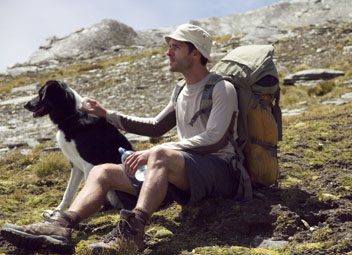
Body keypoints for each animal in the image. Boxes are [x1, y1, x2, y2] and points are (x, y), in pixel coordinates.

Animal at [23, 80, 133, 212]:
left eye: (41, 94)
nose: (25, 105)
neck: (72, 116)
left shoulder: (89, 163)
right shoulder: (75, 164)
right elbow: (68, 192)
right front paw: (58, 210)